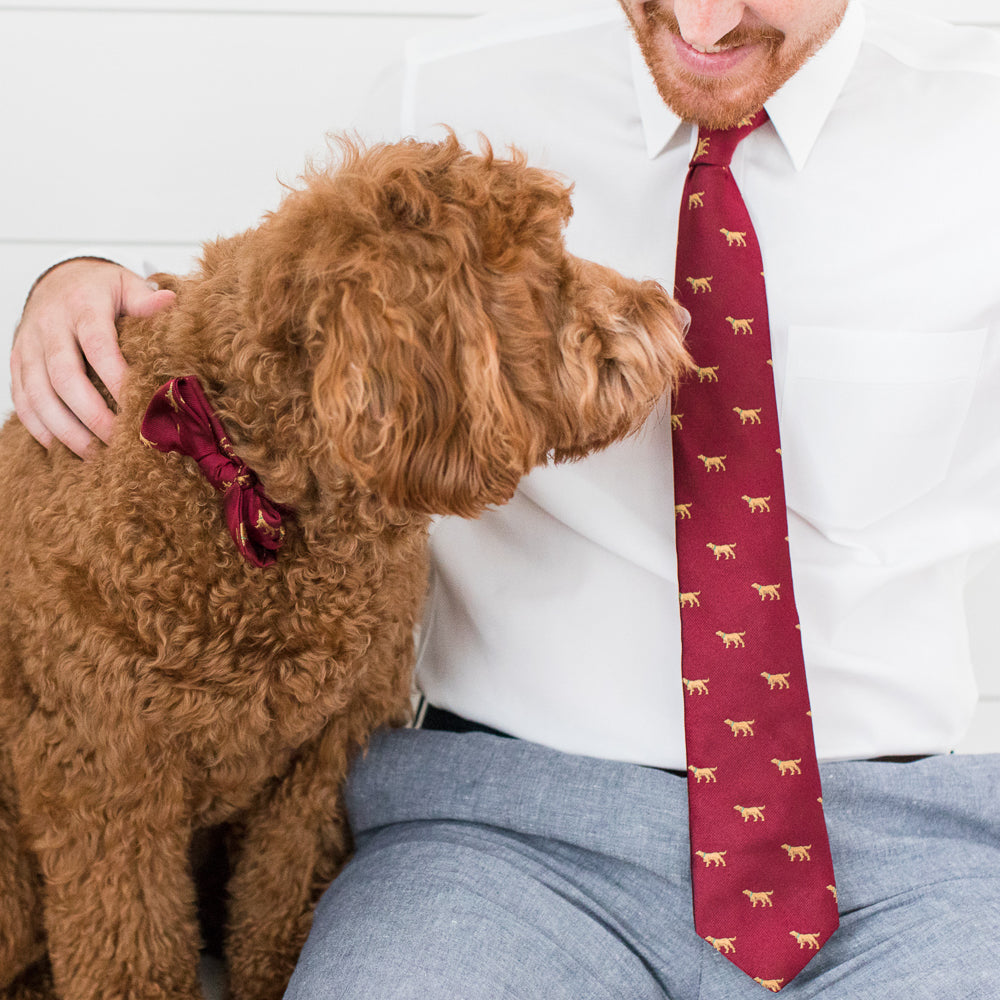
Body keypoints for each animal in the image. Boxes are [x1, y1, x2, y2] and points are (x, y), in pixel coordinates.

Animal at [0, 137, 688, 1000]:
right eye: (545, 268)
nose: (670, 312)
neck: (250, 483)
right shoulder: (107, 779)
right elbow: (131, 952)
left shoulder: (323, 760)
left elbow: (281, 905)